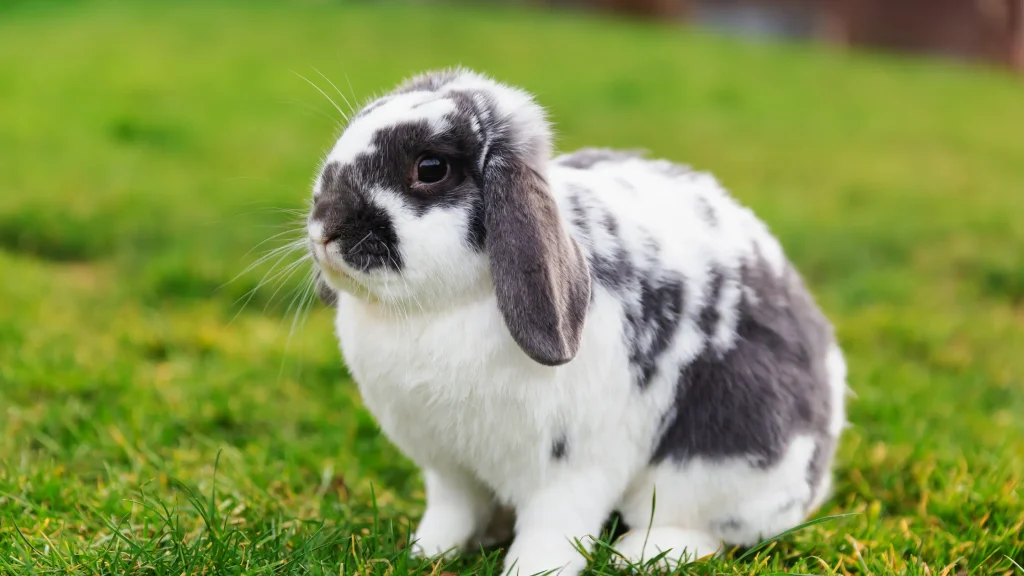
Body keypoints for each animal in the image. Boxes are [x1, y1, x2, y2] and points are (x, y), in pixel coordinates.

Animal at [305, 68, 848, 576]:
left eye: (431, 168)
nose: (325, 227)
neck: (436, 310)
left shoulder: (573, 470)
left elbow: (553, 528)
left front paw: (529, 570)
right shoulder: (450, 472)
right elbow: (451, 515)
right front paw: (424, 555)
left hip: (718, 460)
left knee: (705, 526)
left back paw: (641, 553)